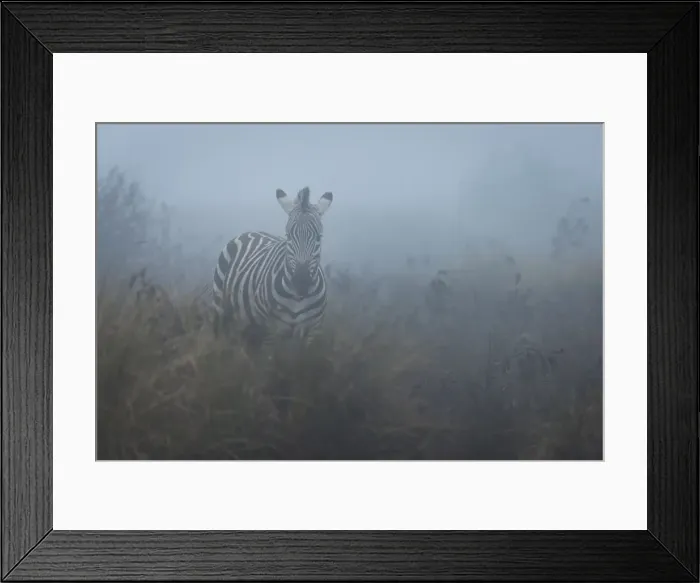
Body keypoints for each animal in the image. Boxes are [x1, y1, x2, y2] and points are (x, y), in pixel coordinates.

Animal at [212, 186, 334, 346]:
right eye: (288, 236)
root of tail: (250, 231)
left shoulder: (312, 332)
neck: (298, 300)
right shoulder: (270, 330)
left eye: (319, 237)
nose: (301, 282)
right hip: (220, 305)